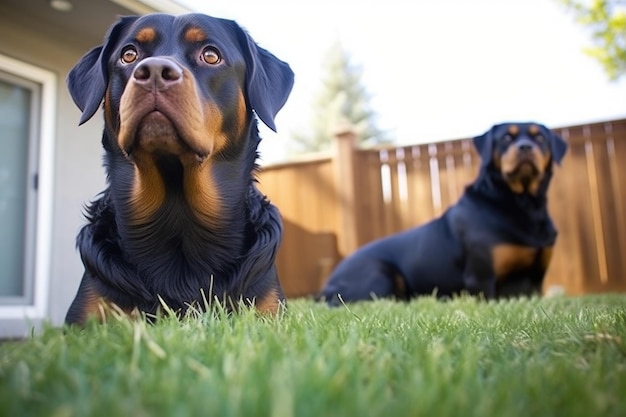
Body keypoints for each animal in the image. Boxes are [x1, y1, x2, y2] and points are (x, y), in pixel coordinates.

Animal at [64, 13, 294, 324]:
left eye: (211, 55)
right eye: (128, 54)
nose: (154, 71)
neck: (177, 212)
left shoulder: (267, 310)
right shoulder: (87, 317)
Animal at [320, 122, 568, 304]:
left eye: (540, 138)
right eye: (507, 138)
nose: (525, 147)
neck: (523, 204)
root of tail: (327, 284)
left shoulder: (535, 280)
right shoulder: (481, 278)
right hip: (380, 275)